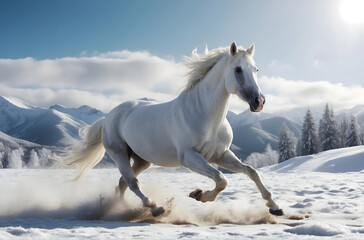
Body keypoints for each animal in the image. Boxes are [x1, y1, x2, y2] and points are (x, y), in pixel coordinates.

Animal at [67, 42, 284, 217]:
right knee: (132, 183)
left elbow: (251, 172)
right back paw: (155, 207)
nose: (259, 102)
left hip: (142, 160)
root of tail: (108, 117)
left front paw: (275, 207)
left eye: (256, 69)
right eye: (238, 69)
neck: (205, 115)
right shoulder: (189, 157)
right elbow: (221, 179)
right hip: (119, 154)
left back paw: (124, 208)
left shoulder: (221, 155)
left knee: (122, 183)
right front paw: (199, 195)